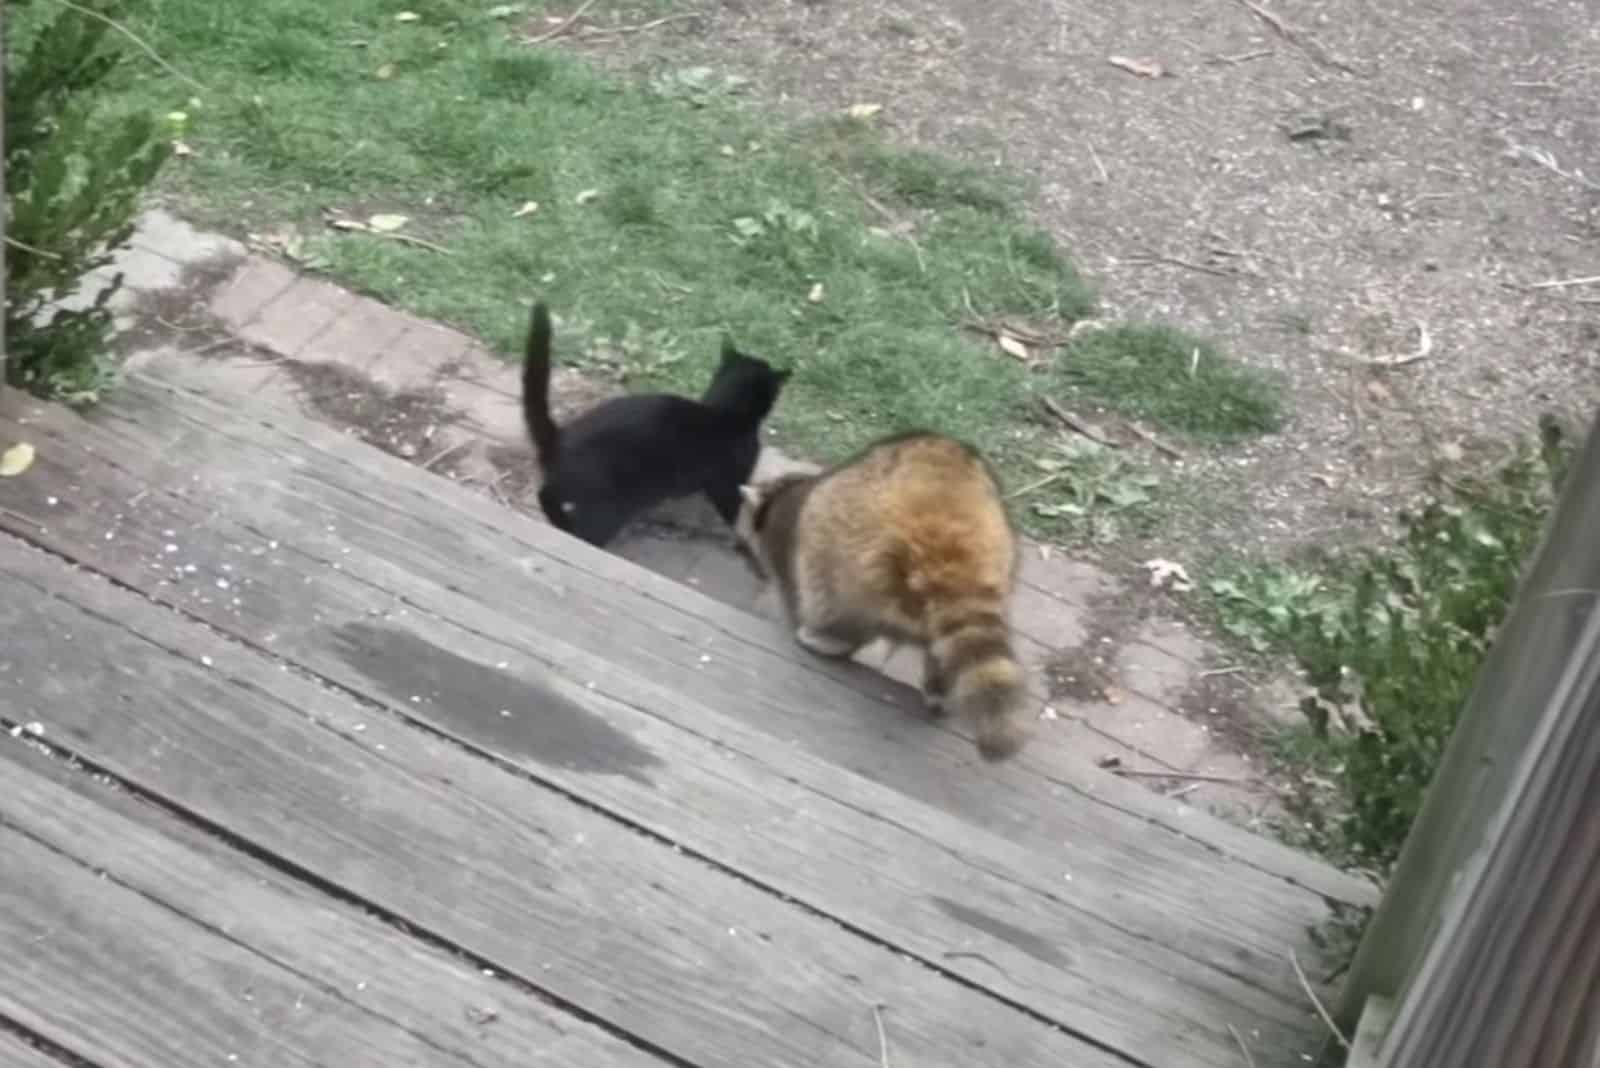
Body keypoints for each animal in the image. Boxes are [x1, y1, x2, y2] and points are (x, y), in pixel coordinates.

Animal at [521, 302, 790, 546]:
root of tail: (559, 438)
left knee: (547, 493)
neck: (725, 411)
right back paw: (568, 528)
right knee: (576, 521)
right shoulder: (728, 482)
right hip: (611, 503)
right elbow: (734, 511)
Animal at [732, 428, 1024, 764]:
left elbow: (792, 594)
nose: (742, 553)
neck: (784, 491)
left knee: (831, 604)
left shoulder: (786, 548)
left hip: (841, 547)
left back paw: (825, 637)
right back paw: (940, 688)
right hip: (1004, 552)